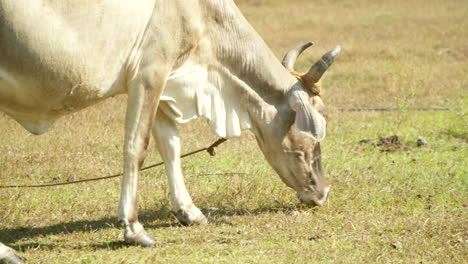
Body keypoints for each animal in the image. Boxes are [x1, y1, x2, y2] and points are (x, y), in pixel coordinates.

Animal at [0, 0, 340, 262]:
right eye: (318, 122)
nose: (322, 192)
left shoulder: (166, 81)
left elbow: (171, 145)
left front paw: (189, 211)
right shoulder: (148, 73)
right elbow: (136, 147)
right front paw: (133, 228)